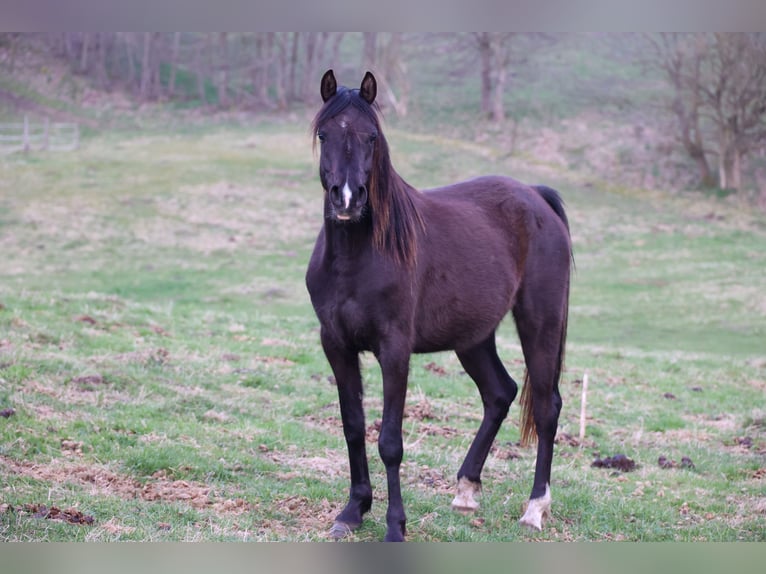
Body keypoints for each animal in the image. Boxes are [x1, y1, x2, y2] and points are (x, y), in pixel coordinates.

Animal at [305, 70, 572, 542]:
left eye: (372, 136)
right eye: (324, 133)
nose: (348, 199)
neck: (358, 256)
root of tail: (537, 198)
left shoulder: (394, 350)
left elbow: (390, 442)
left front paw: (395, 526)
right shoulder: (335, 345)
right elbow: (353, 427)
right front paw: (353, 511)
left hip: (539, 323)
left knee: (546, 405)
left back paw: (535, 507)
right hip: (473, 338)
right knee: (500, 393)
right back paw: (466, 489)